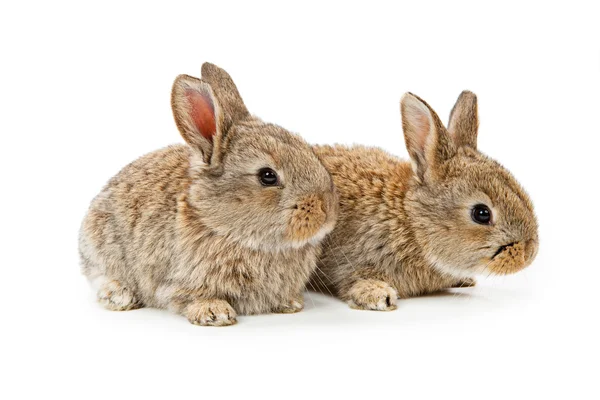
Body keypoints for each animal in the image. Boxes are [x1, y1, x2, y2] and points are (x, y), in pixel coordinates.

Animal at [79, 62, 338, 324]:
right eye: (267, 176)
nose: (327, 211)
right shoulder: (179, 280)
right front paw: (214, 313)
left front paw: (290, 303)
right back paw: (119, 296)